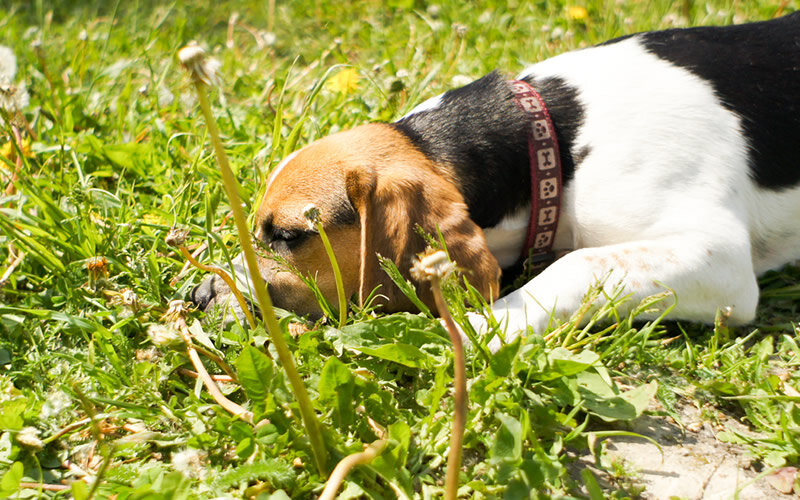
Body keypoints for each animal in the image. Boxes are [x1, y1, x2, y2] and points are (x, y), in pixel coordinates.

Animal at [192, 14, 800, 352]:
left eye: (289, 236)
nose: (197, 297)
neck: (552, 139)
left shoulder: (720, 258)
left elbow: (579, 264)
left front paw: (479, 328)